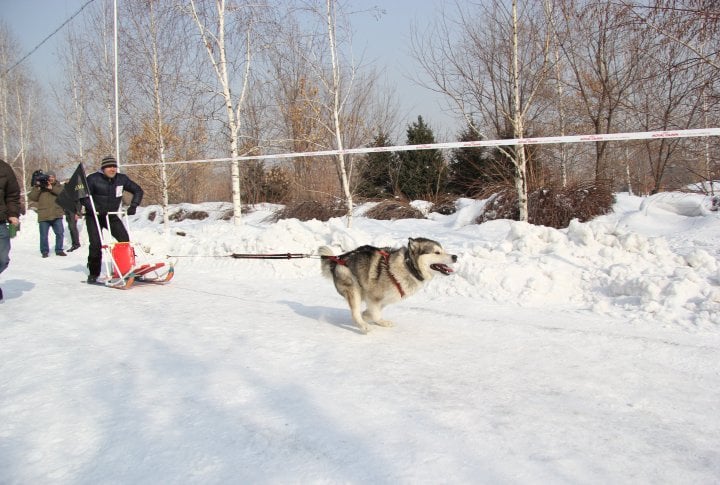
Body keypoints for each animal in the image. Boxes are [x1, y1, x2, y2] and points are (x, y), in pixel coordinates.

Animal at [320, 237, 456, 332]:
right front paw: (372, 320)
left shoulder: (383, 300)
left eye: (443, 250)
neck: (408, 267)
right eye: (437, 252)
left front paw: (369, 316)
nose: (455, 256)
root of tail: (337, 259)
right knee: (354, 313)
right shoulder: (373, 297)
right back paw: (364, 326)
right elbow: (375, 314)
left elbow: (372, 313)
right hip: (353, 289)